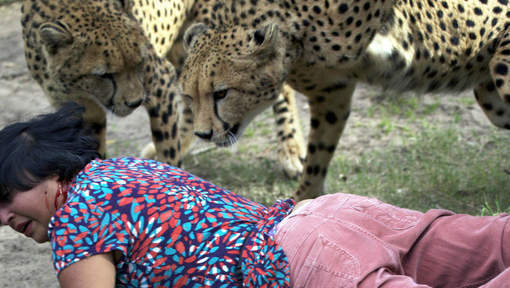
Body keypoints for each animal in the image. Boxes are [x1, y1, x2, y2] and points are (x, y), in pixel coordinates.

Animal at [179, 0, 510, 199]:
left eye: (221, 93)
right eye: (188, 96)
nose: (202, 133)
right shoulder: (332, 92)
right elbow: (317, 155)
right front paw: (304, 200)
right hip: (489, 95)